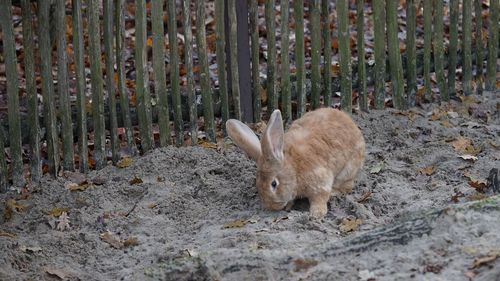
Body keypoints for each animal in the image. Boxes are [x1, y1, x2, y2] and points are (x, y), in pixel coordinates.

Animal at [226, 106, 364, 218]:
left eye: (274, 184)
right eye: (257, 183)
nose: (272, 207)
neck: (294, 169)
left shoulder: (320, 182)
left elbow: (320, 197)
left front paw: (316, 213)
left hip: (347, 171)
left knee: (347, 186)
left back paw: (334, 192)